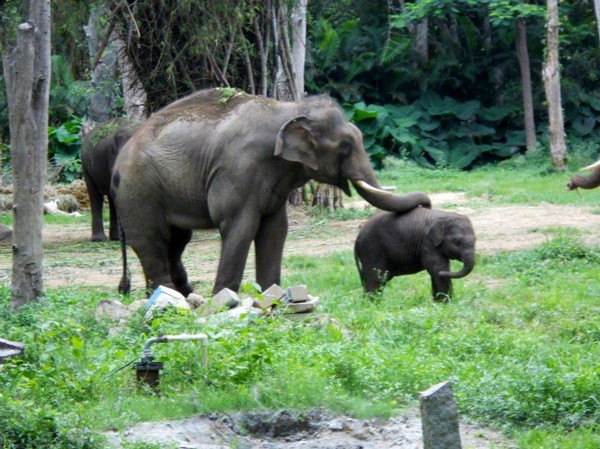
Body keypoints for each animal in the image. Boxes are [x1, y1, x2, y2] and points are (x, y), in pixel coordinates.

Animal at [110, 89, 432, 296]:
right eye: (345, 146)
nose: (427, 204)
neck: (289, 109)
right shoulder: (238, 171)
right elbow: (240, 227)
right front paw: (223, 302)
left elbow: (276, 230)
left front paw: (272, 297)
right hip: (138, 192)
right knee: (152, 241)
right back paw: (166, 300)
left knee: (176, 242)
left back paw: (185, 296)